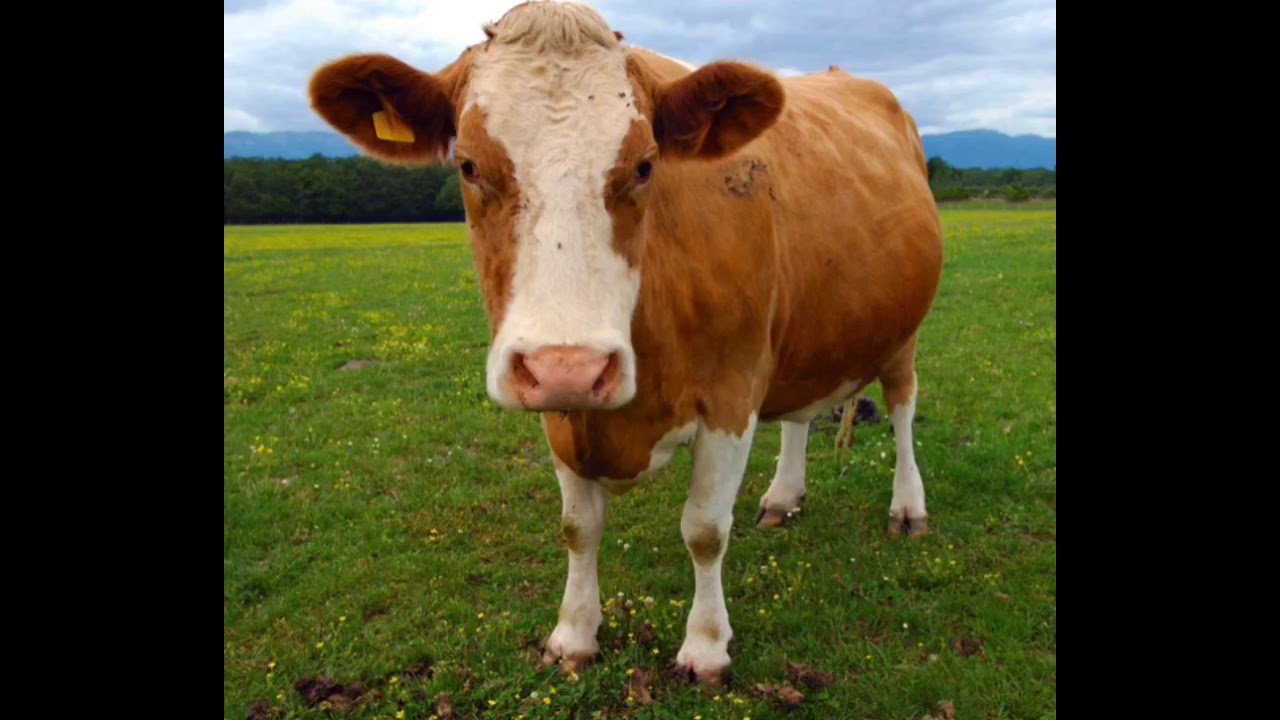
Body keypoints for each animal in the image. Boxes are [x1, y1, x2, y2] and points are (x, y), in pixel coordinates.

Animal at [309, 0, 943, 686]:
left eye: (644, 165)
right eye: (469, 165)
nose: (571, 367)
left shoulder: (731, 392)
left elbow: (704, 529)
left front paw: (705, 646)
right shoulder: (561, 409)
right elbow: (578, 527)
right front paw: (573, 634)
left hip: (903, 331)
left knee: (903, 407)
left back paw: (908, 508)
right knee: (801, 414)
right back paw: (782, 497)